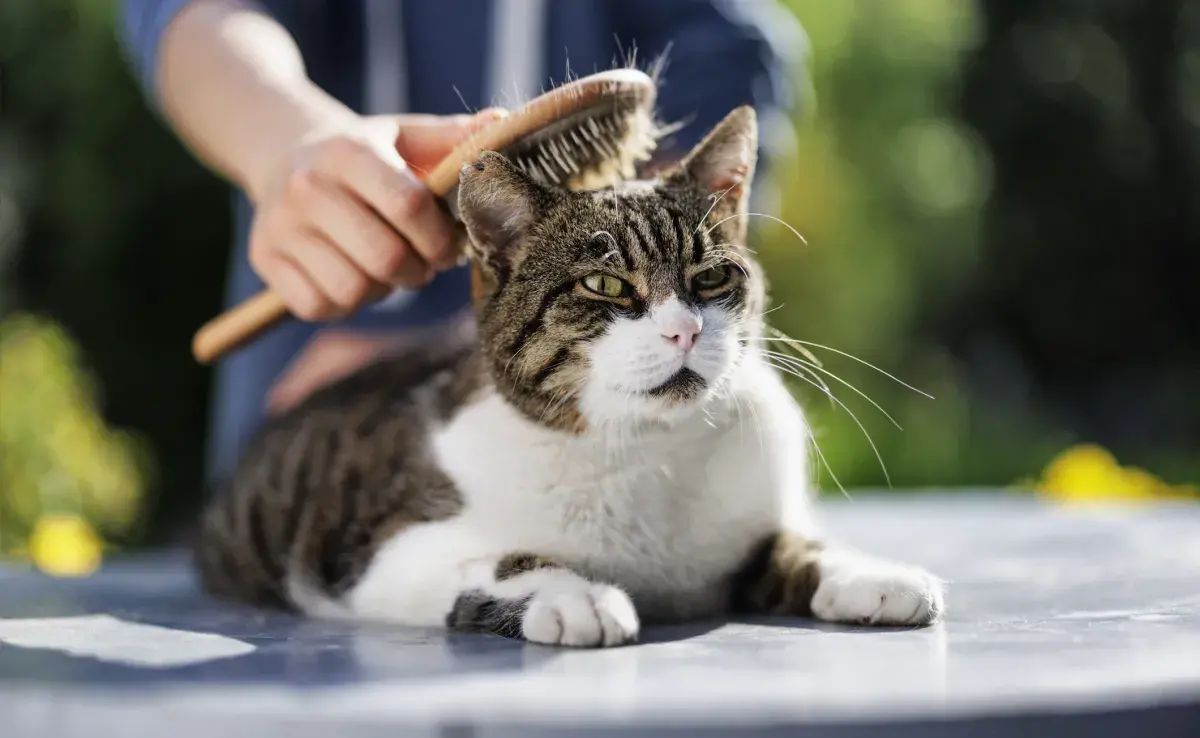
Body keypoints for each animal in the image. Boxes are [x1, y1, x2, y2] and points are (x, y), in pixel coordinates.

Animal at [194, 108, 945, 648]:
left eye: (710, 278)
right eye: (604, 284)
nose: (685, 329)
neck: (644, 449)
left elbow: (793, 545)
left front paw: (870, 573)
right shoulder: (376, 553)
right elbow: (499, 560)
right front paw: (575, 595)